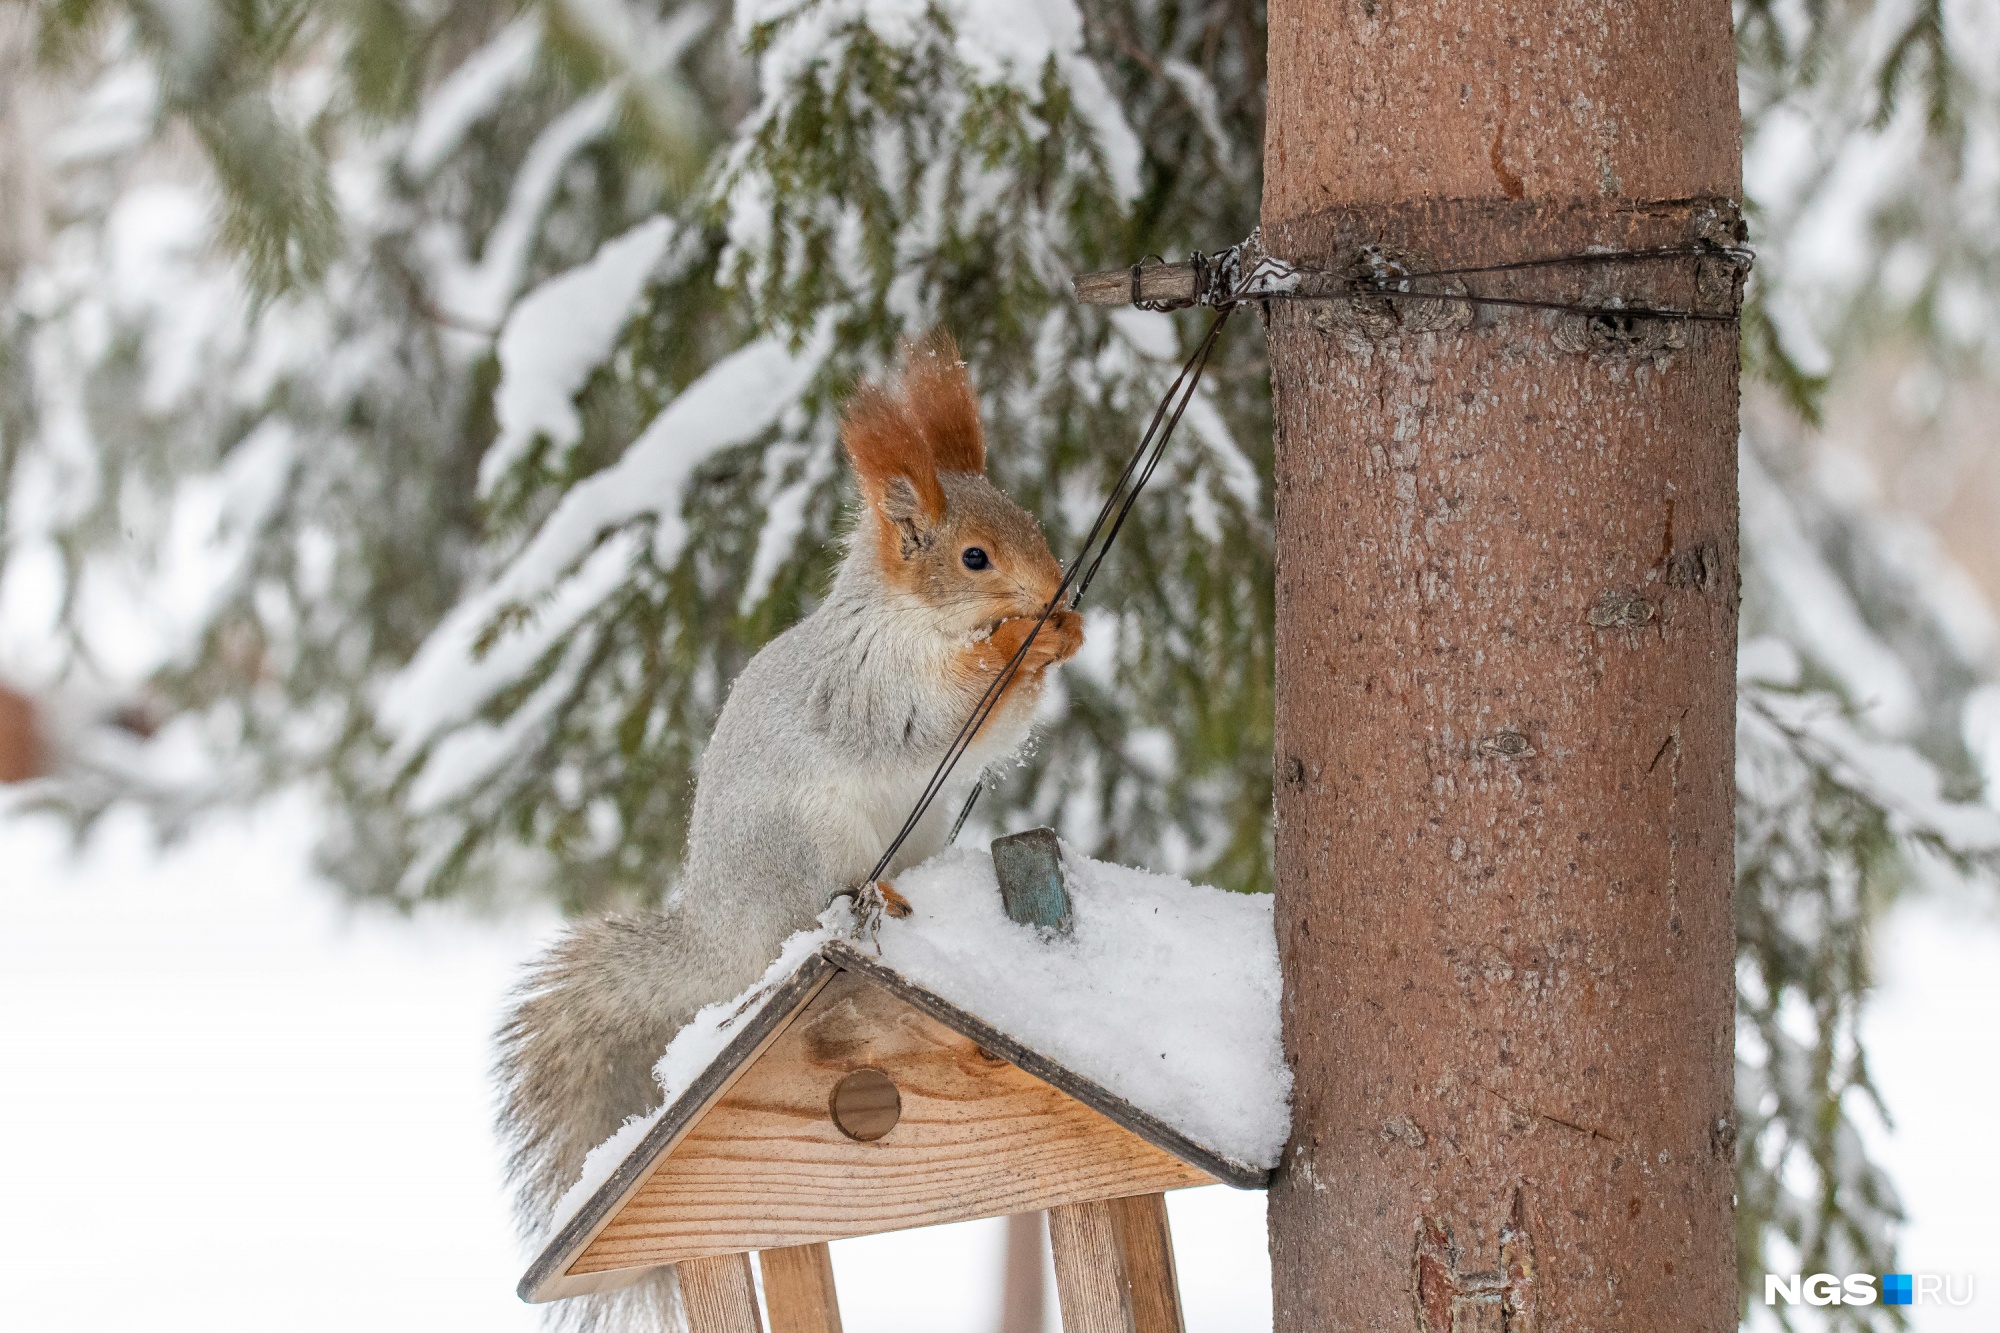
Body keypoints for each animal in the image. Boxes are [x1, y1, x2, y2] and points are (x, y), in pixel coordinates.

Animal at [496, 330, 1080, 1320]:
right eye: (974, 558)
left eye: (1028, 519)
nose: (1052, 582)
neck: (907, 616)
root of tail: (723, 937)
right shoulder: (871, 687)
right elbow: (941, 713)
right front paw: (1020, 638)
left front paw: (1064, 630)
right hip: (799, 847)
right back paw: (871, 895)